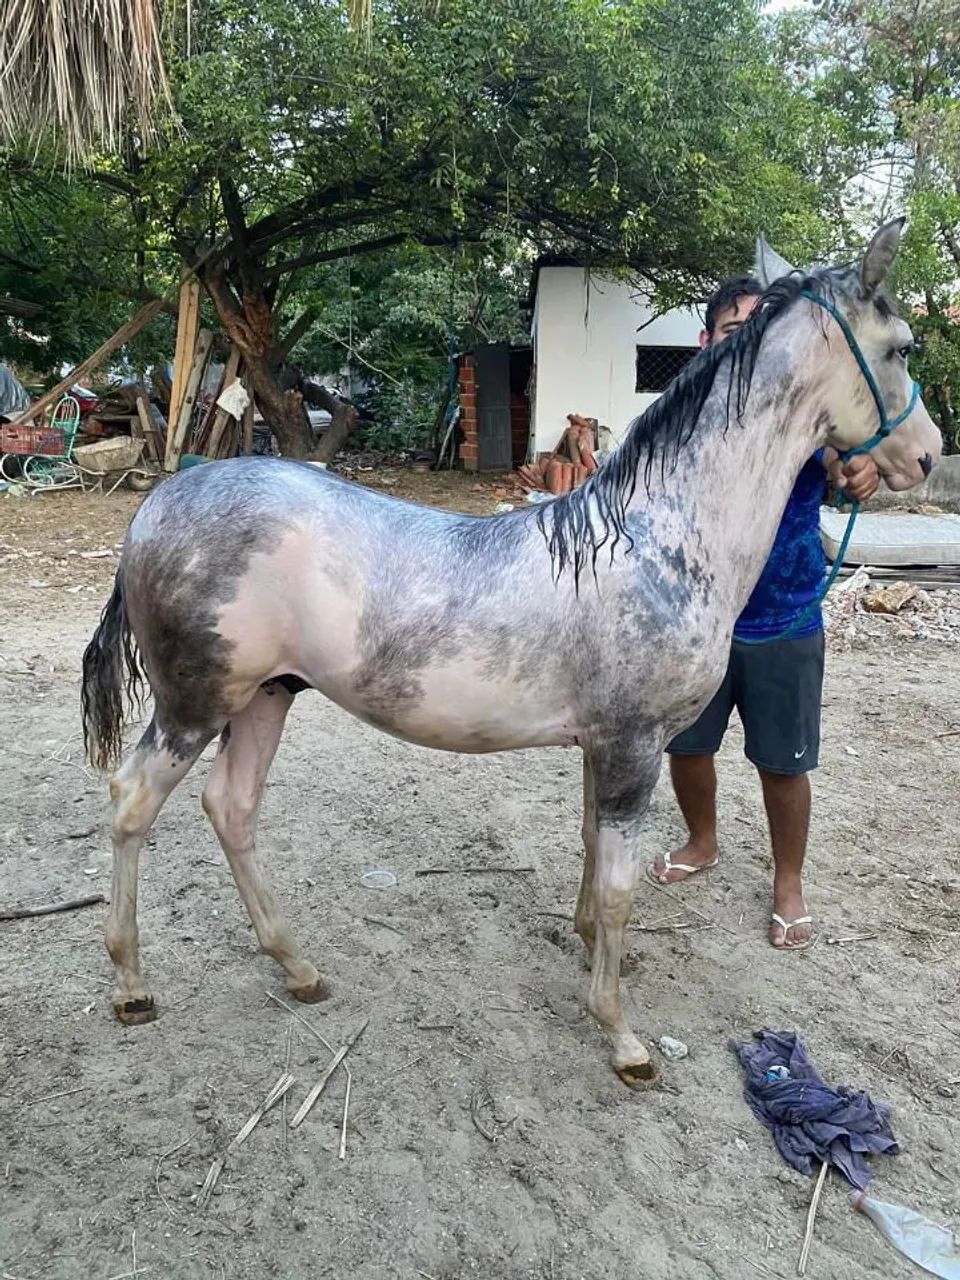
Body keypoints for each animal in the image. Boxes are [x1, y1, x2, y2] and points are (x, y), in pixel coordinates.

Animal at [81, 219, 940, 1087]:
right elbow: (622, 887)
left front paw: (592, 949)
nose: (927, 456)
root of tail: (157, 505)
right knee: (131, 802)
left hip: (267, 695)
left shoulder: (604, 746)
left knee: (232, 809)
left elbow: (592, 849)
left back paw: (299, 968)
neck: (659, 534)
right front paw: (622, 1037)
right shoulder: (632, 746)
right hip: (196, 706)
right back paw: (131, 985)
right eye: (902, 347)